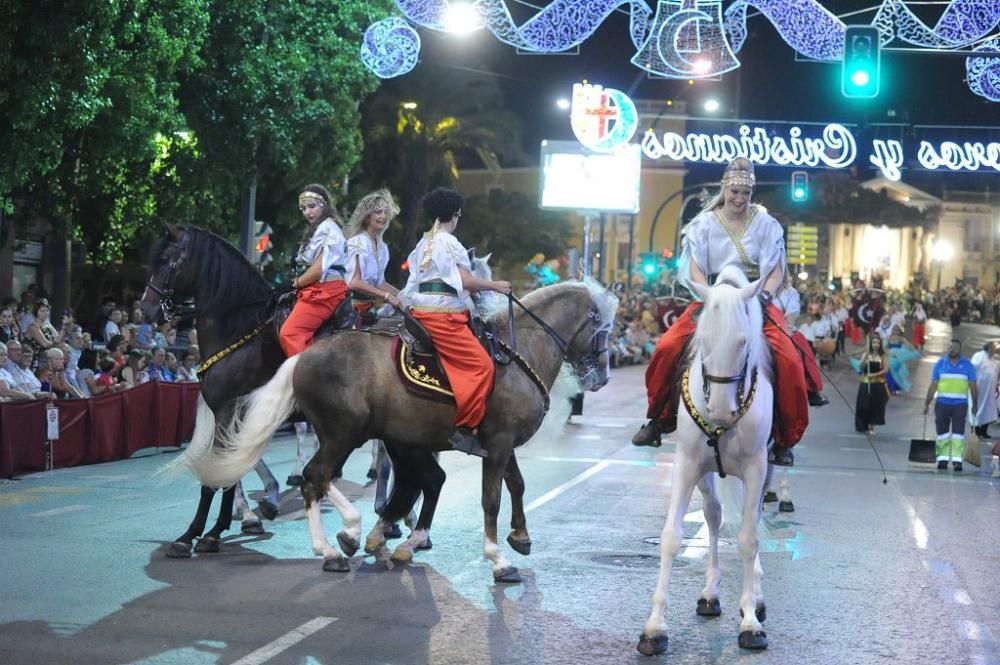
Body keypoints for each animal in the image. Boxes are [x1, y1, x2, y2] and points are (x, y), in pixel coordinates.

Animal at [184, 280, 612, 580]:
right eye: (605, 326)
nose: (603, 376)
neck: (518, 354)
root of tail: (303, 356)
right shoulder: (499, 441)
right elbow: (492, 499)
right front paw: (497, 559)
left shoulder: (499, 443)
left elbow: (517, 486)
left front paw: (520, 537)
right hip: (344, 433)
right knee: (316, 477)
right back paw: (341, 539)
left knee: (353, 480)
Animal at [640, 264, 772, 652]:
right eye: (704, 341)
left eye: (742, 342)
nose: (721, 411)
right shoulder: (687, 464)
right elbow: (671, 537)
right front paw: (655, 627)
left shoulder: (757, 467)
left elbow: (747, 539)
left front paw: (750, 621)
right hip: (706, 472)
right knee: (713, 516)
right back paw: (710, 593)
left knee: (752, 520)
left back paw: (756, 598)